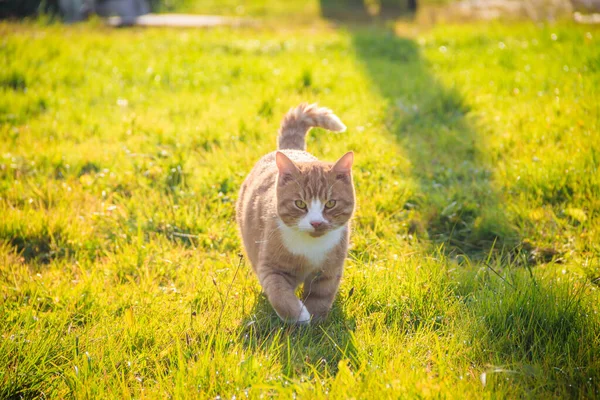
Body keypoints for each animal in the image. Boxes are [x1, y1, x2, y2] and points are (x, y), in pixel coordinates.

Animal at [236, 103, 356, 324]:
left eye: (330, 203)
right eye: (300, 204)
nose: (316, 223)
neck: (310, 248)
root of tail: (291, 149)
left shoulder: (329, 271)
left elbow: (320, 297)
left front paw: (316, 323)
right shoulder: (270, 266)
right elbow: (279, 294)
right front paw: (299, 315)